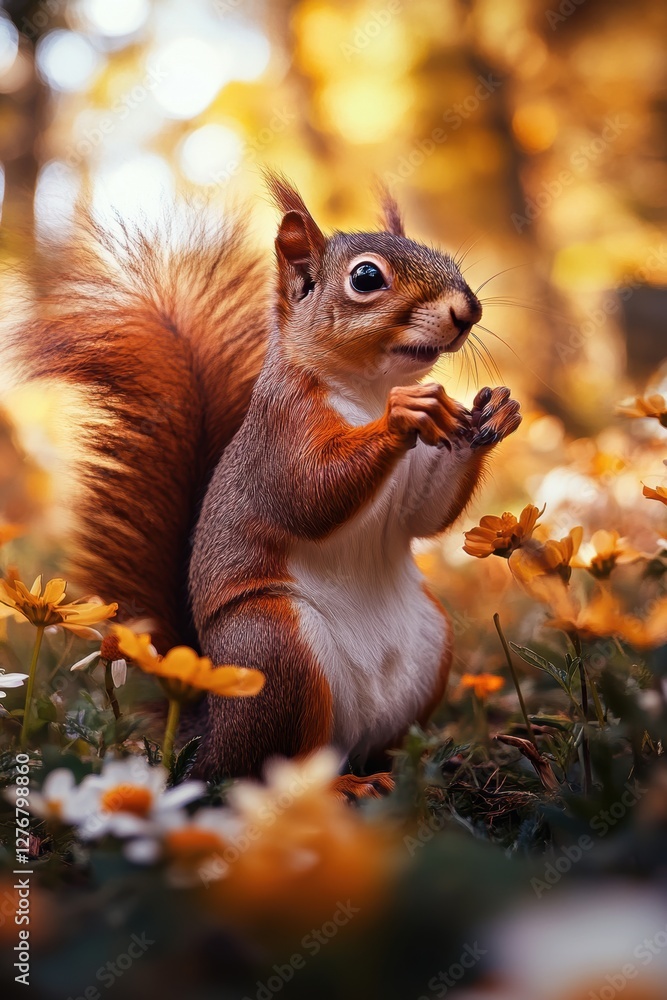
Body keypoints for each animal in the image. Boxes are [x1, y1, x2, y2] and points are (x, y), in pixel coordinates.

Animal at [7, 173, 521, 796]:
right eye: (366, 278)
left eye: (443, 256)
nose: (467, 309)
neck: (369, 390)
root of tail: (209, 734)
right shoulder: (281, 434)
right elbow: (309, 496)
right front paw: (406, 412)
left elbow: (425, 514)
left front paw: (495, 412)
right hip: (275, 652)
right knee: (273, 769)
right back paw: (341, 787)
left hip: (428, 645)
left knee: (365, 747)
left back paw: (407, 769)